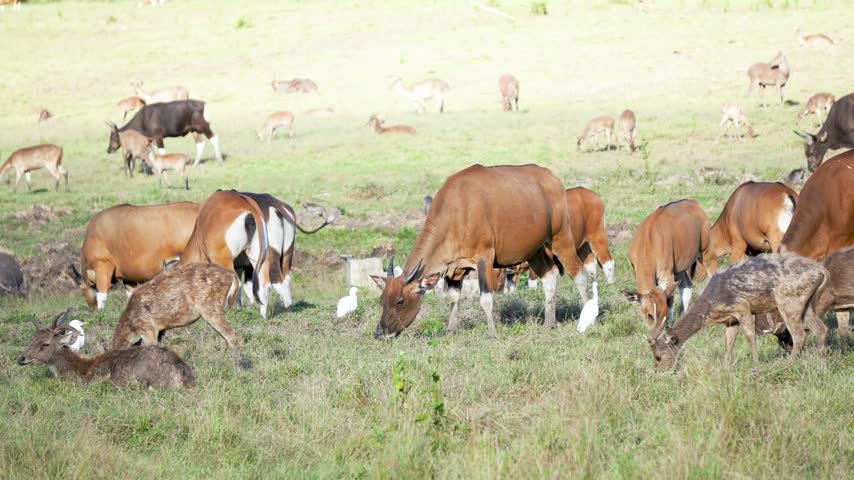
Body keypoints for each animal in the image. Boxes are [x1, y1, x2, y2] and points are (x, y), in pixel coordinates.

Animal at [111, 262, 243, 369]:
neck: (131, 322)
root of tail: (232, 275)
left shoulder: (148, 328)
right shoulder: (160, 329)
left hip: (210, 308)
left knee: (231, 336)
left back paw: (236, 370)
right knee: (223, 338)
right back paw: (218, 365)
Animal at [371, 164, 588, 338]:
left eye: (400, 301)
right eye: (382, 300)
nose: (380, 332)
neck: (458, 210)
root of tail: (552, 179)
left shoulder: (484, 258)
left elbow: (485, 299)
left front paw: (492, 333)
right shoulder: (454, 268)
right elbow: (452, 297)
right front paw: (450, 330)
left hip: (560, 238)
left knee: (579, 273)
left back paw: (587, 317)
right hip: (534, 249)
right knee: (549, 274)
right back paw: (549, 323)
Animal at [622, 199, 716, 342]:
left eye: (664, 314)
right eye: (649, 315)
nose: (652, 338)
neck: (649, 239)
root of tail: (694, 203)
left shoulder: (666, 275)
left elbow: (670, 301)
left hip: (706, 252)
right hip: (680, 269)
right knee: (687, 286)